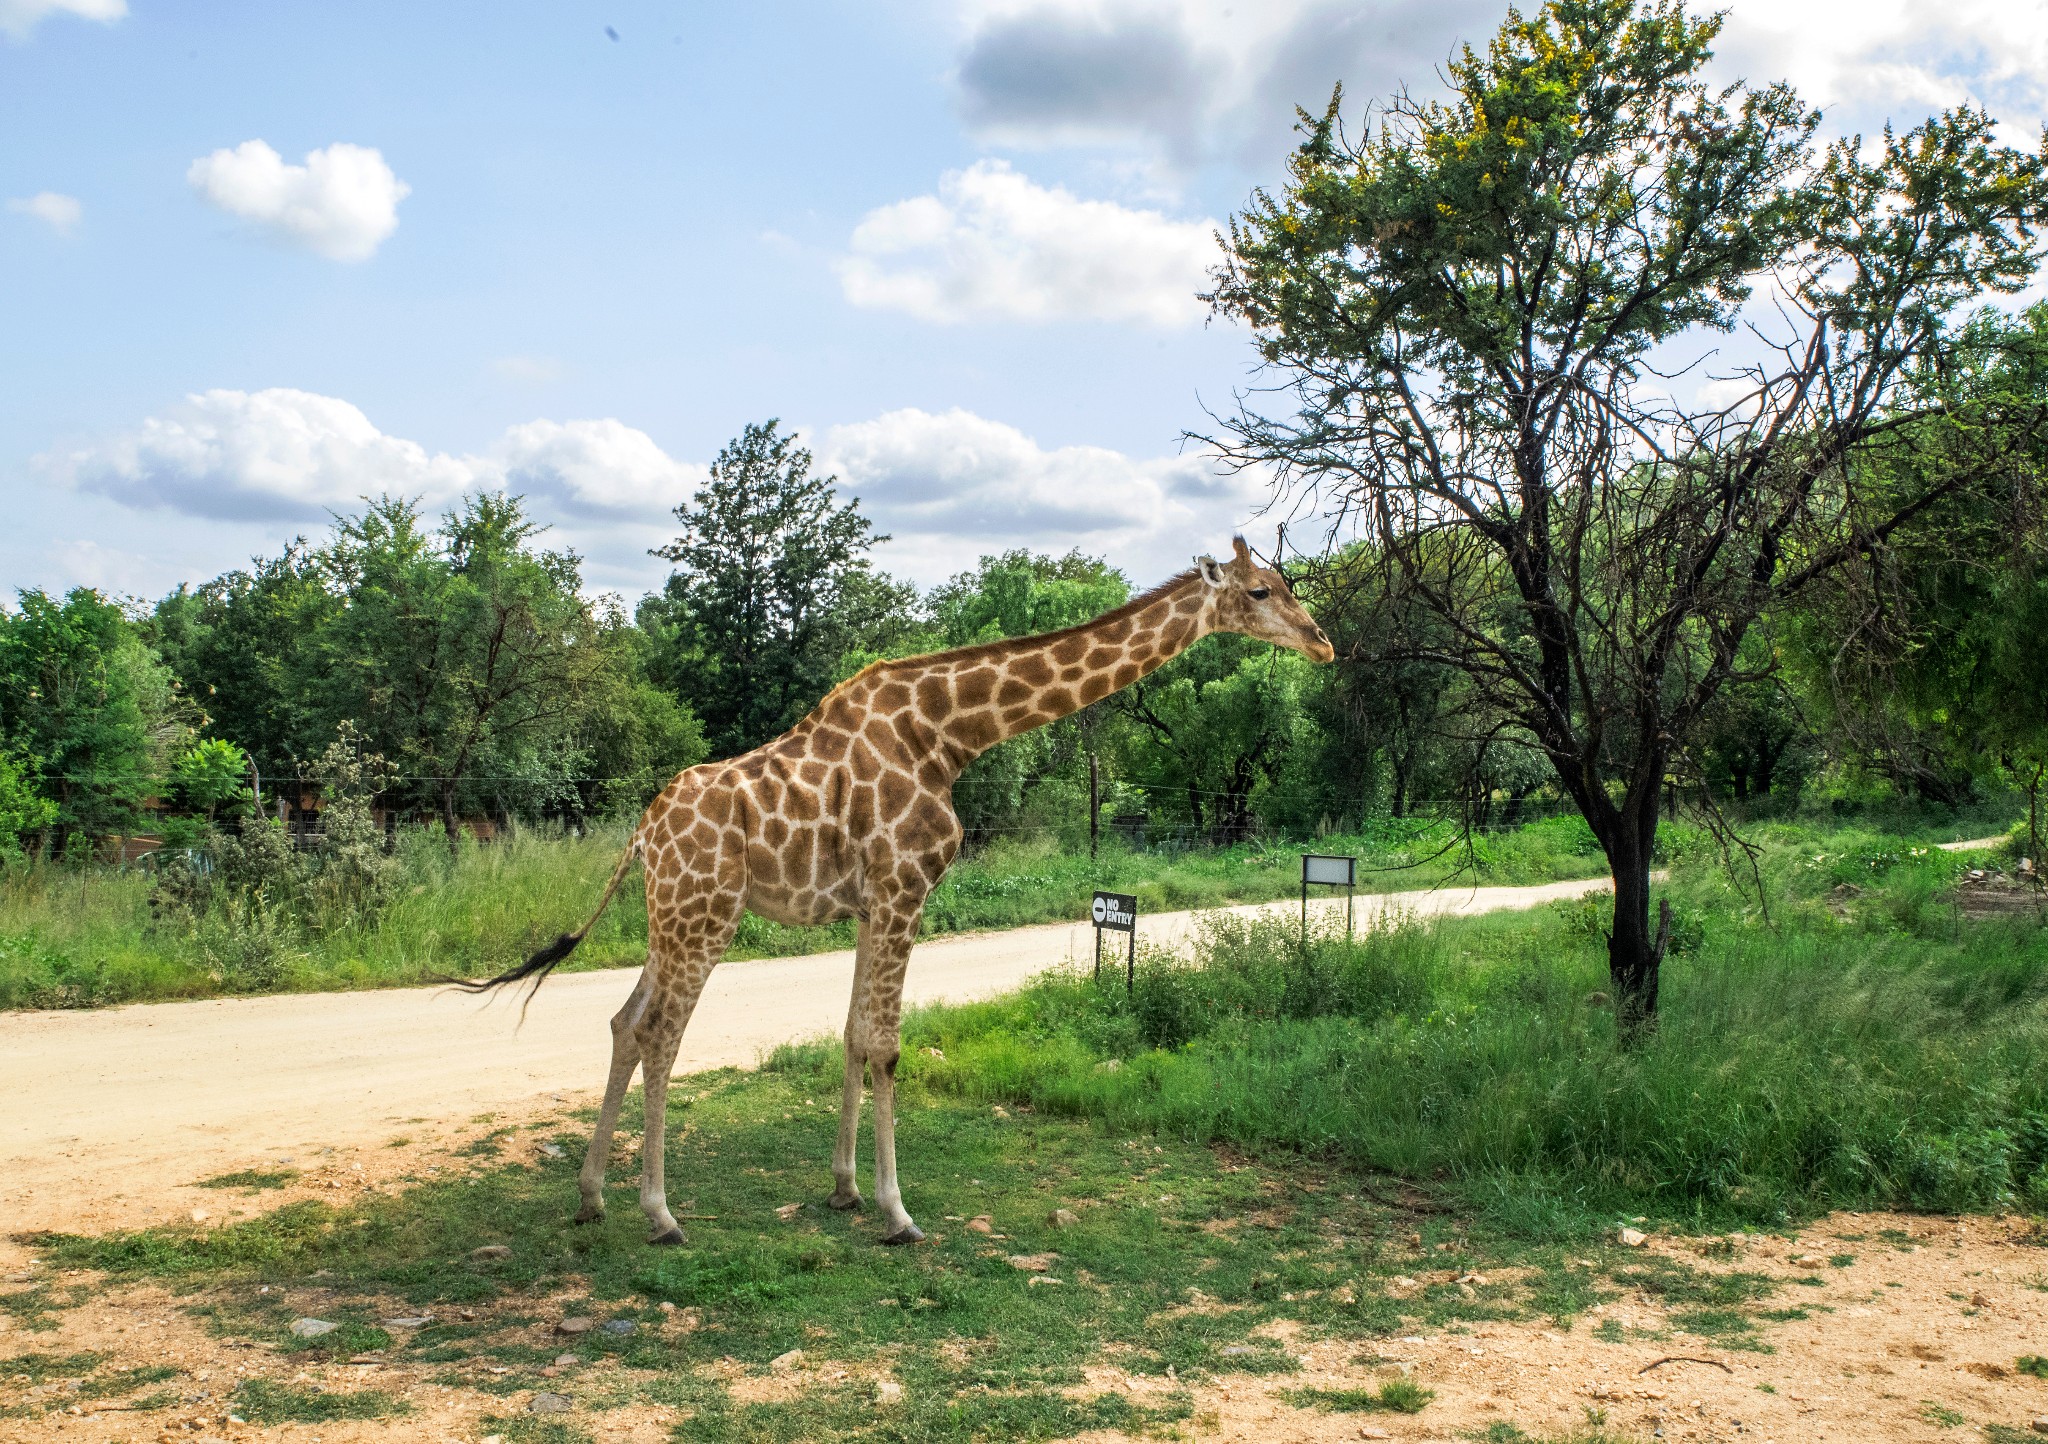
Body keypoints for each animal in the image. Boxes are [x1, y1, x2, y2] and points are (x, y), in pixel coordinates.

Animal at [460, 536, 1327, 1245]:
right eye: (1260, 591)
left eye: (1287, 583)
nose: (1321, 641)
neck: (951, 735)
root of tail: (642, 835)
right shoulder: (907, 885)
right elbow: (886, 1045)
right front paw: (897, 1213)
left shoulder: (869, 903)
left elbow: (850, 1034)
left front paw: (845, 1190)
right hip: (707, 915)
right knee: (659, 1035)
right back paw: (660, 1213)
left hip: (667, 917)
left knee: (621, 1021)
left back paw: (591, 1197)